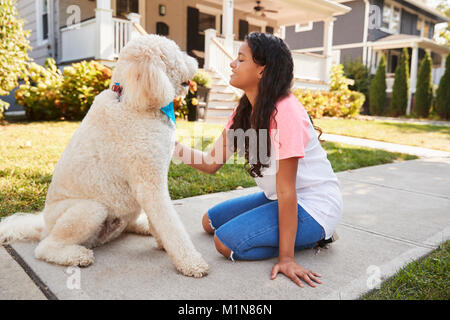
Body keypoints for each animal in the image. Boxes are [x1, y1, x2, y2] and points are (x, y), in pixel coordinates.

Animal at [0, 34, 210, 278]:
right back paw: (77, 255)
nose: (196, 62)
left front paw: (163, 243)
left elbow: (161, 222)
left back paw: (142, 225)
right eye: (175, 53)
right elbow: (170, 224)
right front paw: (190, 263)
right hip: (90, 210)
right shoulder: (149, 185)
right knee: (45, 248)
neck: (131, 100)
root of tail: (43, 227)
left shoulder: (150, 184)